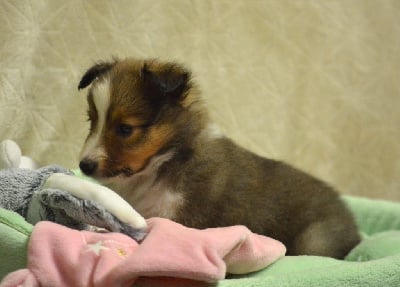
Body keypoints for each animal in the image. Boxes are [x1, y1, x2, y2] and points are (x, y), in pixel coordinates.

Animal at [77, 58, 360, 258]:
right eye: (91, 120)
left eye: (125, 128)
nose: (84, 165)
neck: (165, 162)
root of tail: (351, 221)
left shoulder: (185, 220)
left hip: (315, 241)